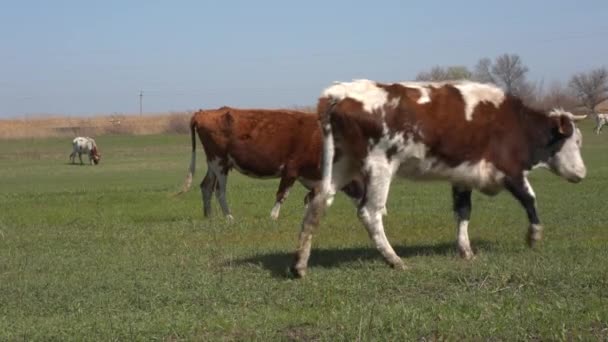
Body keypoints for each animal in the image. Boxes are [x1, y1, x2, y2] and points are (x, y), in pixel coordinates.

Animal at [180, 106, 342, 219]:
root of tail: (203, 113)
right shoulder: (291, 169)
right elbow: (282, 194)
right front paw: (273, 216)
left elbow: (309, 198)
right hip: (220, 162)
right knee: (219, 190)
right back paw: (229, 216)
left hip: (213, 162)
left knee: (206, 186)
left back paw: (209, 216)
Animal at [292, 79, 588, 276]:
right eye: (575, 141)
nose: (582, 173)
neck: (516, 122)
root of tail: (339, 93)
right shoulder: (509, 170)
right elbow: (530, 198)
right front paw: (534, 235)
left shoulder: (464, 176)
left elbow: (463, 212)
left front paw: (465, 250)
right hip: (379, 167)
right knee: (370, 212)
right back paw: (394, 259)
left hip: (342, 164)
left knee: (317, 204)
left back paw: (300, 265)